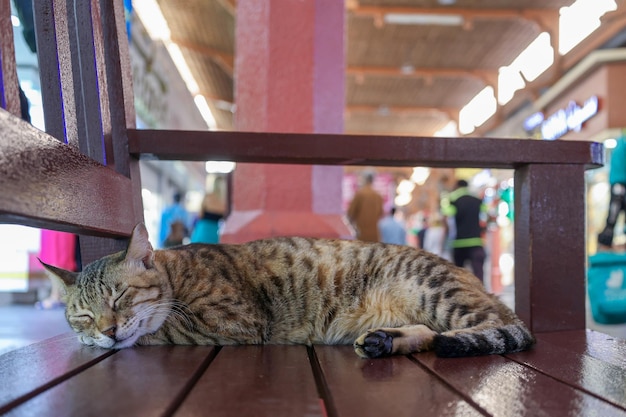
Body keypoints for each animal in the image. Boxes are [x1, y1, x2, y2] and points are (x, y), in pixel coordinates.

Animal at [41, 223, 532, 356]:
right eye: (83, 315)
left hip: (438, 293)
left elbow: (159, 331)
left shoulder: (233, 321)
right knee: (431, 333)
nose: (106, 330)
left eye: (119, 297)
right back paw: (383, 341)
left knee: (504, 328)